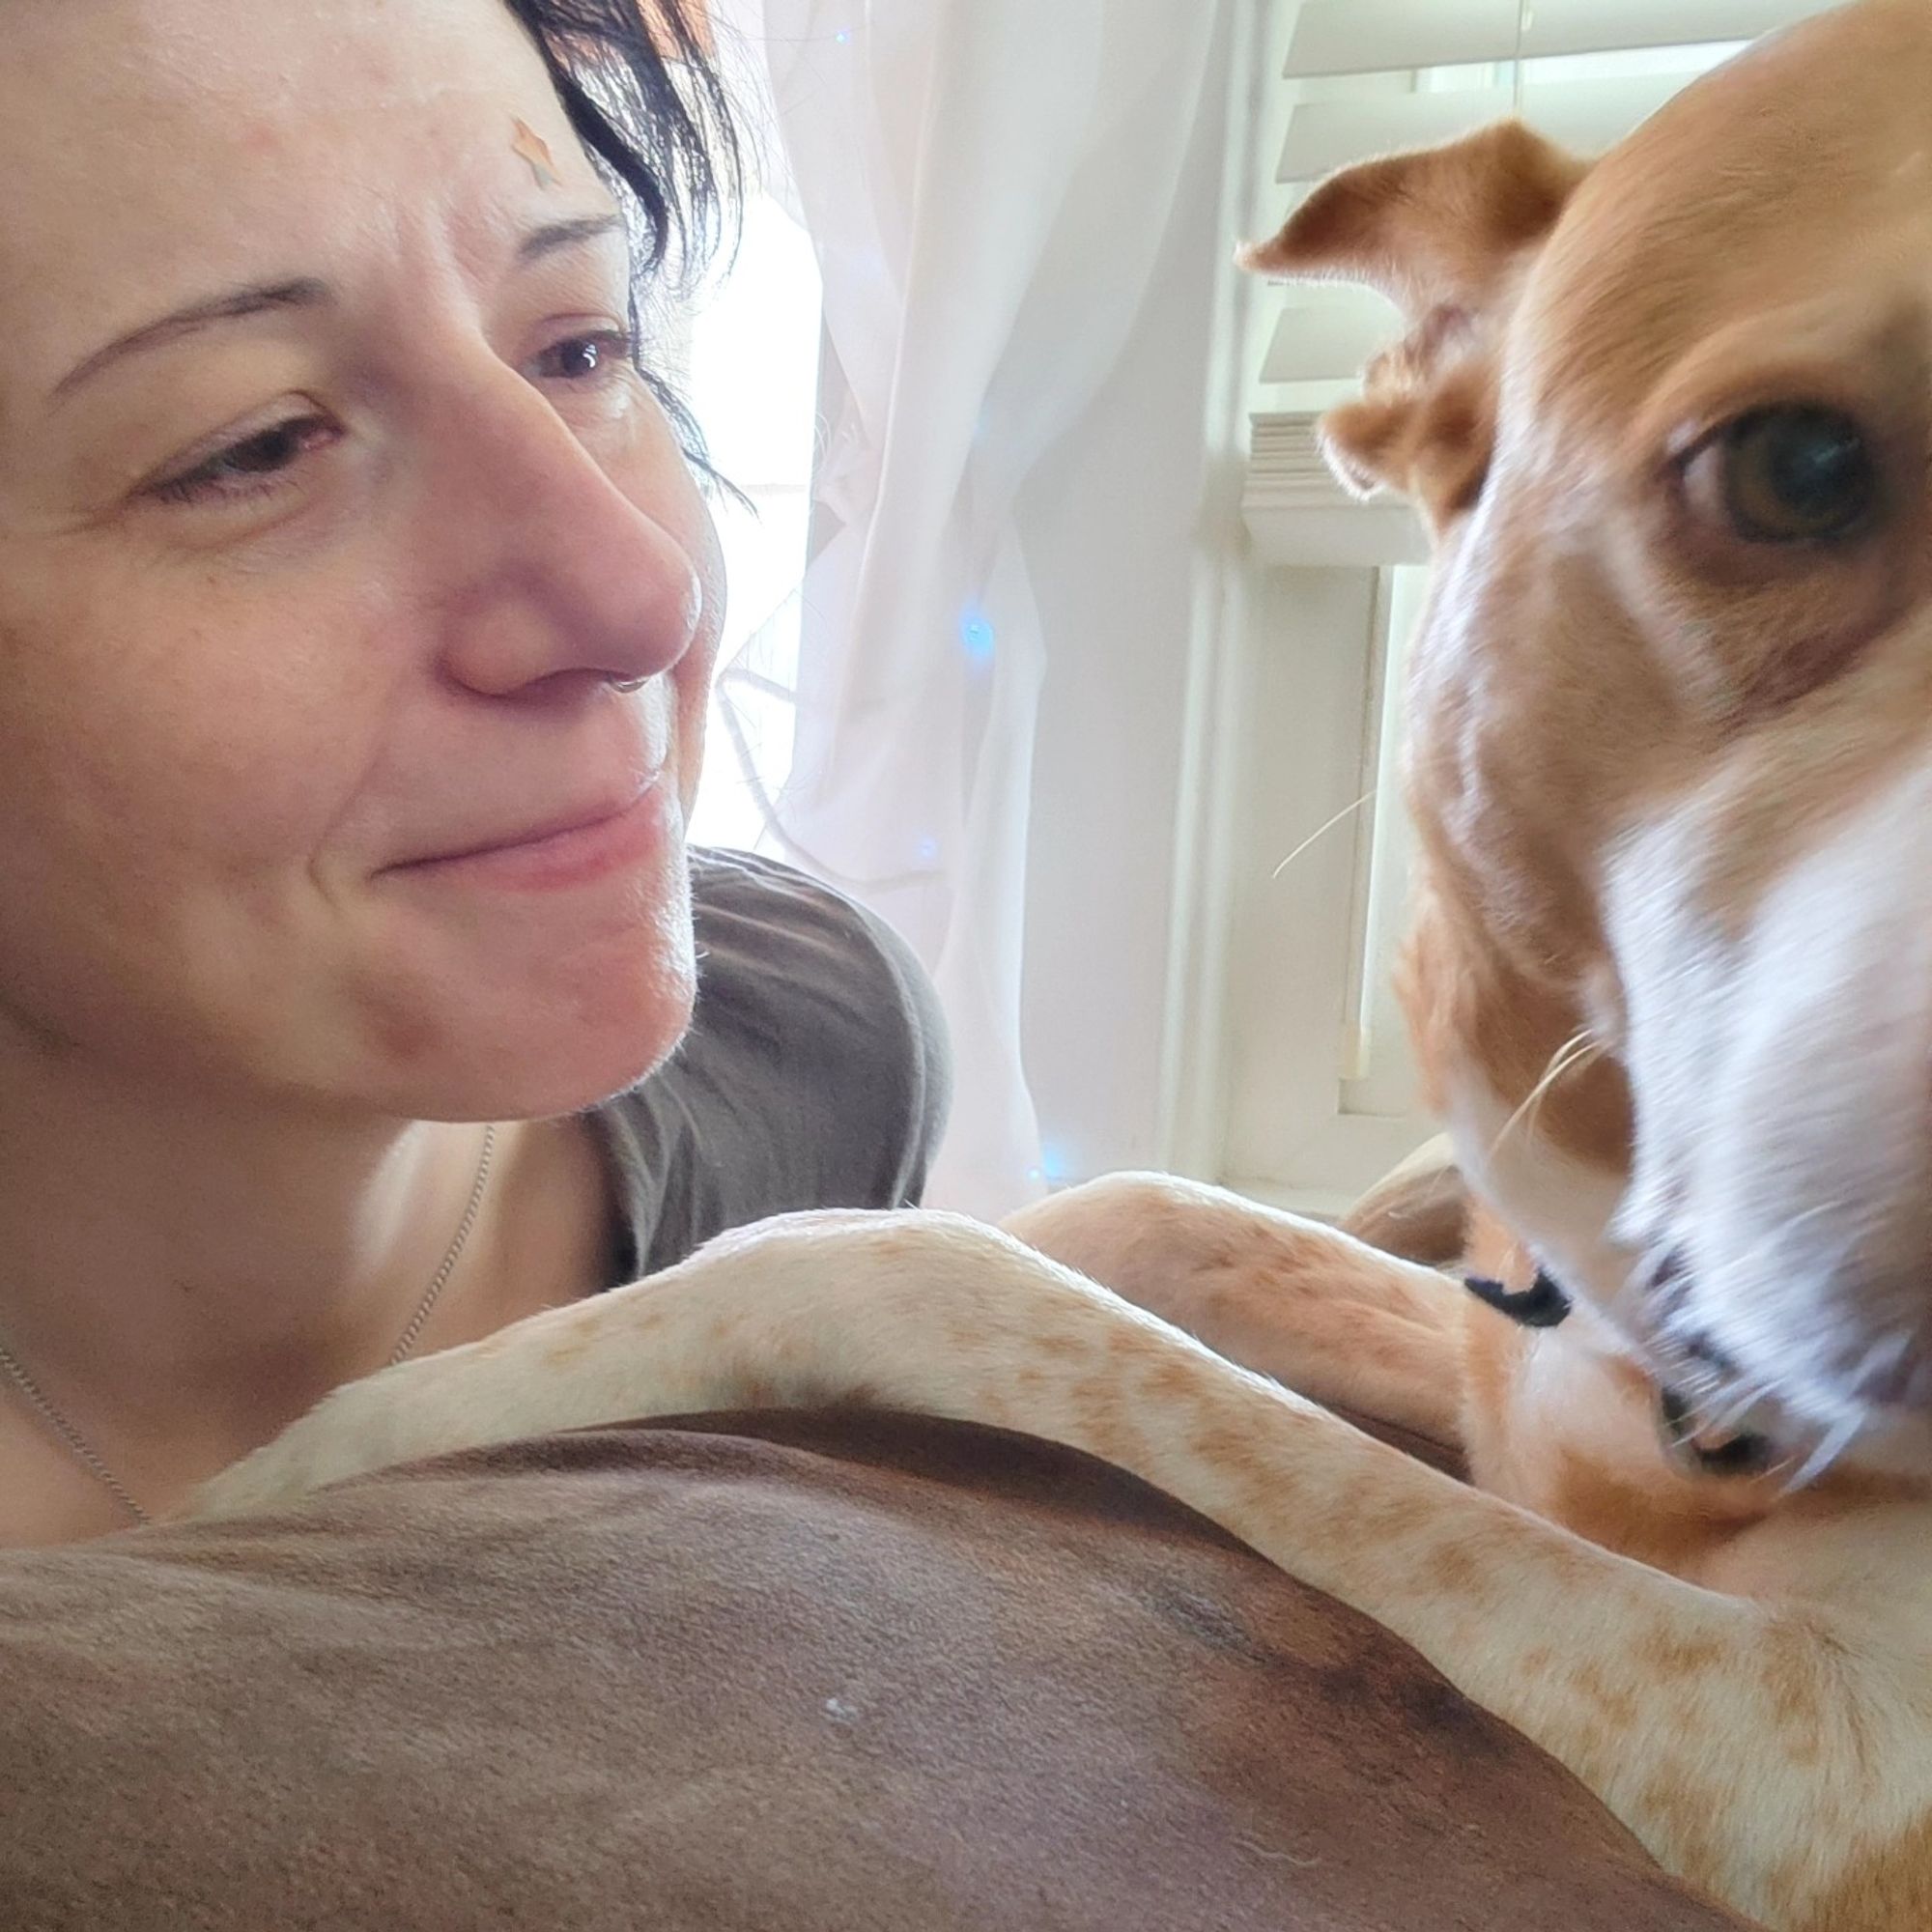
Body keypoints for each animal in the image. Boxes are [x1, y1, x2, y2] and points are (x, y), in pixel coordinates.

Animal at [192, 7, 1932, 1924]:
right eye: (1797, 471)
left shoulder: (1820, 1744)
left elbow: (933, 1276)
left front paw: (352, 1432)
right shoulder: (1502, 1361)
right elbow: (1139, 1217)